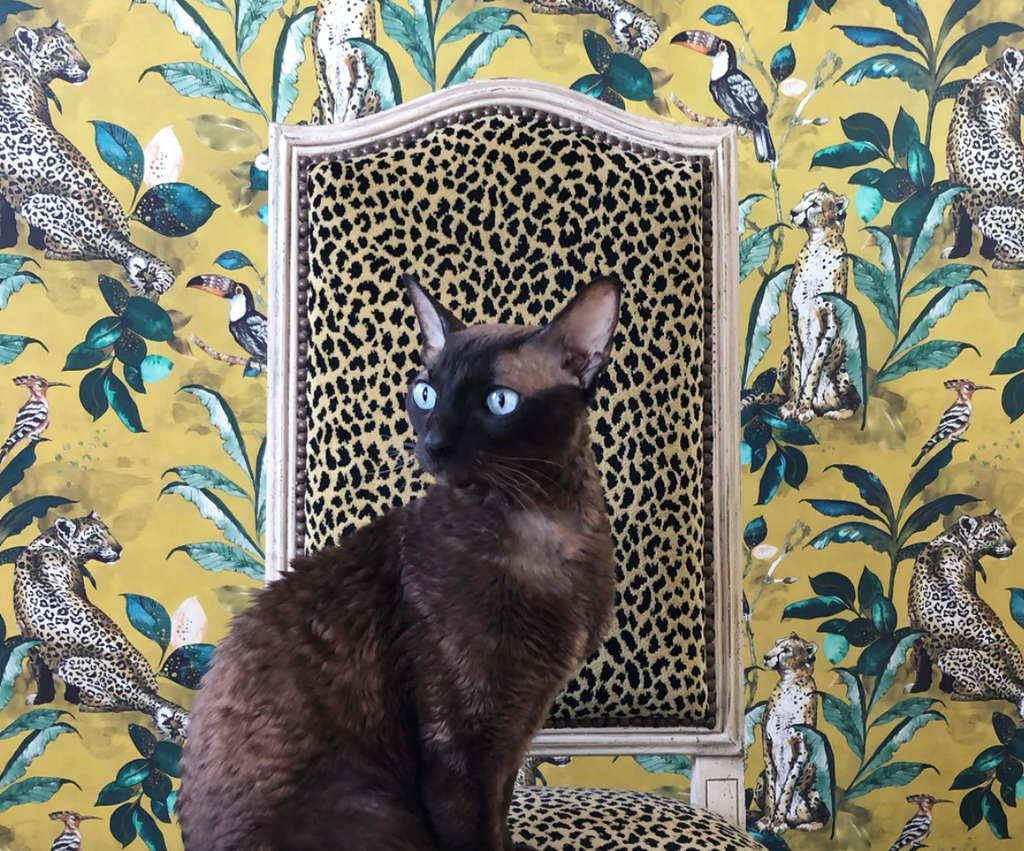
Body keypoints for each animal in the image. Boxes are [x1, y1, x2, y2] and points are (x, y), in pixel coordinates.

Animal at [0, 21, 175, 298]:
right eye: (59, 51)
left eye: (75, 45)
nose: (86, 67)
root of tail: (116, 235)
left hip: (33, 203)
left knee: (84, 251)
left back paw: (51, 249)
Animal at [13, 511, 189, 743]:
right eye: (94, 537)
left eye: (108, 531)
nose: (119, 549)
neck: (50, 543)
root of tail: (142, 689)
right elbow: (42, 674)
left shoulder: (31, 641)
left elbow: (41, 675)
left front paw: (44, 698)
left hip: (69, 665)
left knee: (114, 703)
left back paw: (86, 704)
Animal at [752, 633, 829, 836]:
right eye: (775, 644)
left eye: (786, 650)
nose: (766, 657)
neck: (789, 686)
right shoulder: (767, 744)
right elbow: (772, 790)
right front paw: (767, 819)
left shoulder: (802, 748)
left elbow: (787, 787)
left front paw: (778, 822)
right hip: (759, 780)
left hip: (815, 786)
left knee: (824, 818)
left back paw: (807, 825)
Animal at [907, 511, 1024, 720]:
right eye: (992, 533)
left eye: (1005, 528)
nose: (1013, 545)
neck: (953, 540)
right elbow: (922, 664)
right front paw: (929, 686)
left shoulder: (917, 631)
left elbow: (921, 664)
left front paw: (920, 687)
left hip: (949, 655)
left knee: (983, 691)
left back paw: (958, 692)